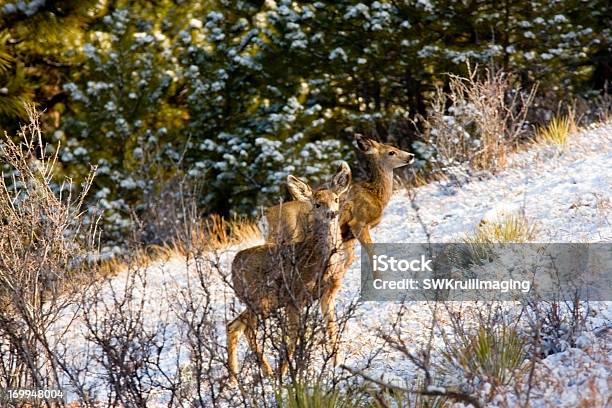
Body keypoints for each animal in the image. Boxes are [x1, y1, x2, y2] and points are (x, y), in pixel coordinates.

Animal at [226, 163, 352, 382]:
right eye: (317, 204)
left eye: (336, 199)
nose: (332, 213)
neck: (321, 264)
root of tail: (234, 265)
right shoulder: (295, 296)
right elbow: (292, 338)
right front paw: (285, 373)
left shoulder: (328, 293)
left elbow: (332, 328)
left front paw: (336, 365)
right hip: (261, 298)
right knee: (247, 328)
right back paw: (265, 372)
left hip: (264, 301)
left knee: (233, 326)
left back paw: (237, 378)